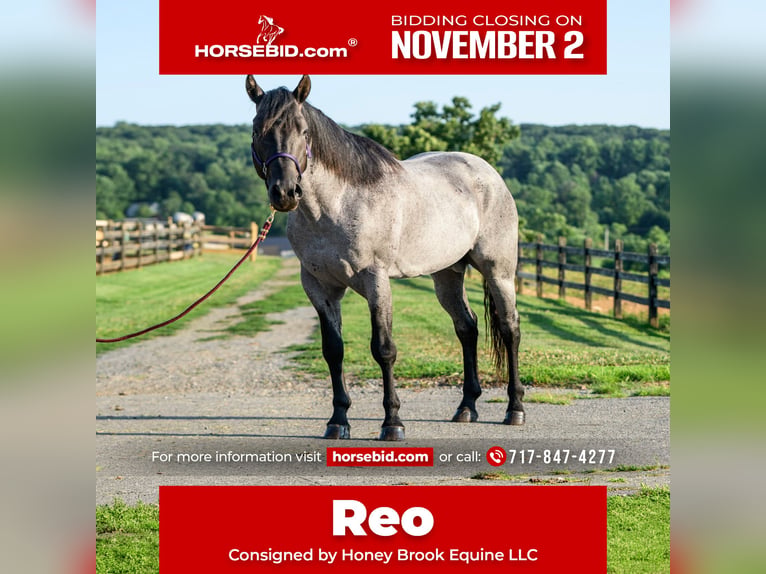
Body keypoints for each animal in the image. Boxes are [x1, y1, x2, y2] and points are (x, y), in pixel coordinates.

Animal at [246, 75, 524, 441]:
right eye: (257, 129)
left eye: (303, 131)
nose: (285, 192)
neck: (338, 205)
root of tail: (487, 172)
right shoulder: (319, 288)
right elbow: (333, 351)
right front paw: (338, 421)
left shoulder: (376, 281)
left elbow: (384, 349)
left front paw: (393, 423)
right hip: (447, 274)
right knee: (467, 327)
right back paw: (467, 407)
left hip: (498, 272)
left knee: (509, 328)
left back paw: (514, 408)